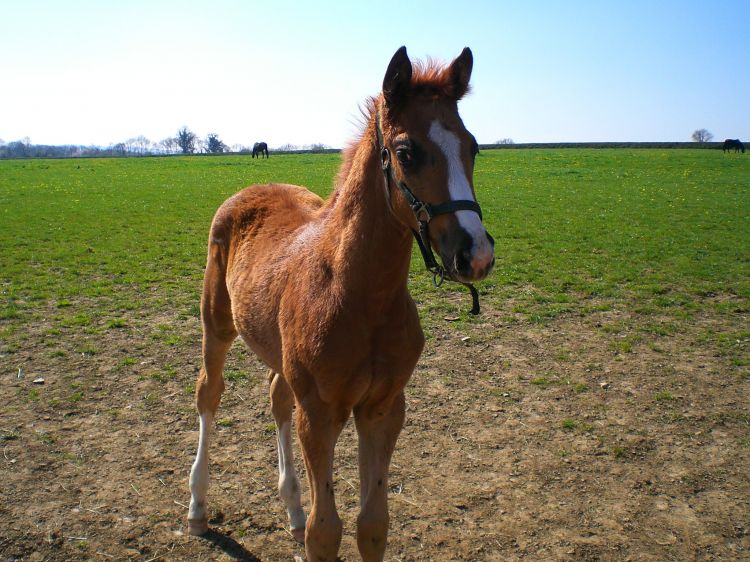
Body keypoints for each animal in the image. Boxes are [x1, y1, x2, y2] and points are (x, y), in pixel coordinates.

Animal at [187, 44, 496, 560]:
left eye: (472, 146)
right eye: (406, 153)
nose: (476, 254)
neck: (359, 296)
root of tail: (252, 189)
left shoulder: (383, 408)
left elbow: (372, 524)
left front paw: (308, 515)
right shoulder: (320, 413)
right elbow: (324, 531)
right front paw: (308, 524)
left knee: (276, 397)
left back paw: (291, 509)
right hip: (217, 323)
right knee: (209, 393)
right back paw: (197, 507)